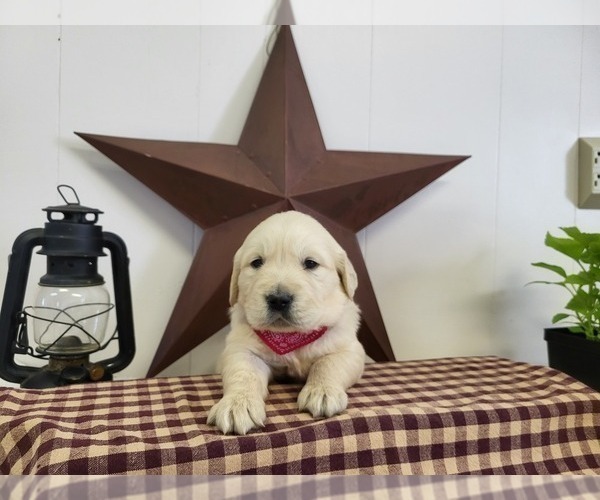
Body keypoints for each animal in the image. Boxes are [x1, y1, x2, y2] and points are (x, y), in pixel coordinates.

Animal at [206, 210, 366, 434]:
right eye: (256, 263)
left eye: (310, 263)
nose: (278, 299)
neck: (290, 335)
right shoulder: (240, 349)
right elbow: (243, 373)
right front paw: (237, 404)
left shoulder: (350, 349)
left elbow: (328, 363)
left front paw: (322, 391)